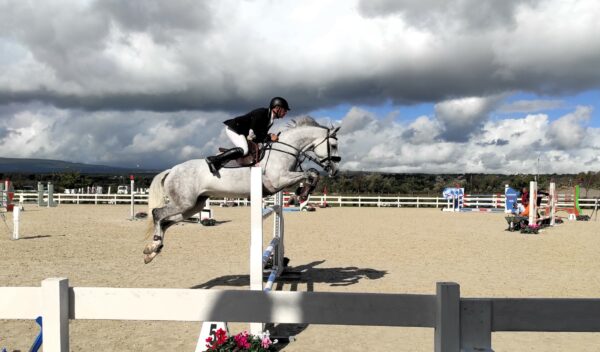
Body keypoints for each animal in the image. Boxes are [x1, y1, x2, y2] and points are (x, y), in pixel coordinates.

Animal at [142, 118, 340, 264]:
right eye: (334, 146)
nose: (335, 170)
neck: (283, 150)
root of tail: (172, 170)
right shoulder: (279, 180)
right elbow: (310, 173)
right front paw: (303, 193)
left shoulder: (283, 180)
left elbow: (311, 173)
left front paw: (303, 192)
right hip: (184, 202)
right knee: (157, 213)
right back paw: (153, 248)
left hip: (193, 206)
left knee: (166, 222)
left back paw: (152, 250)